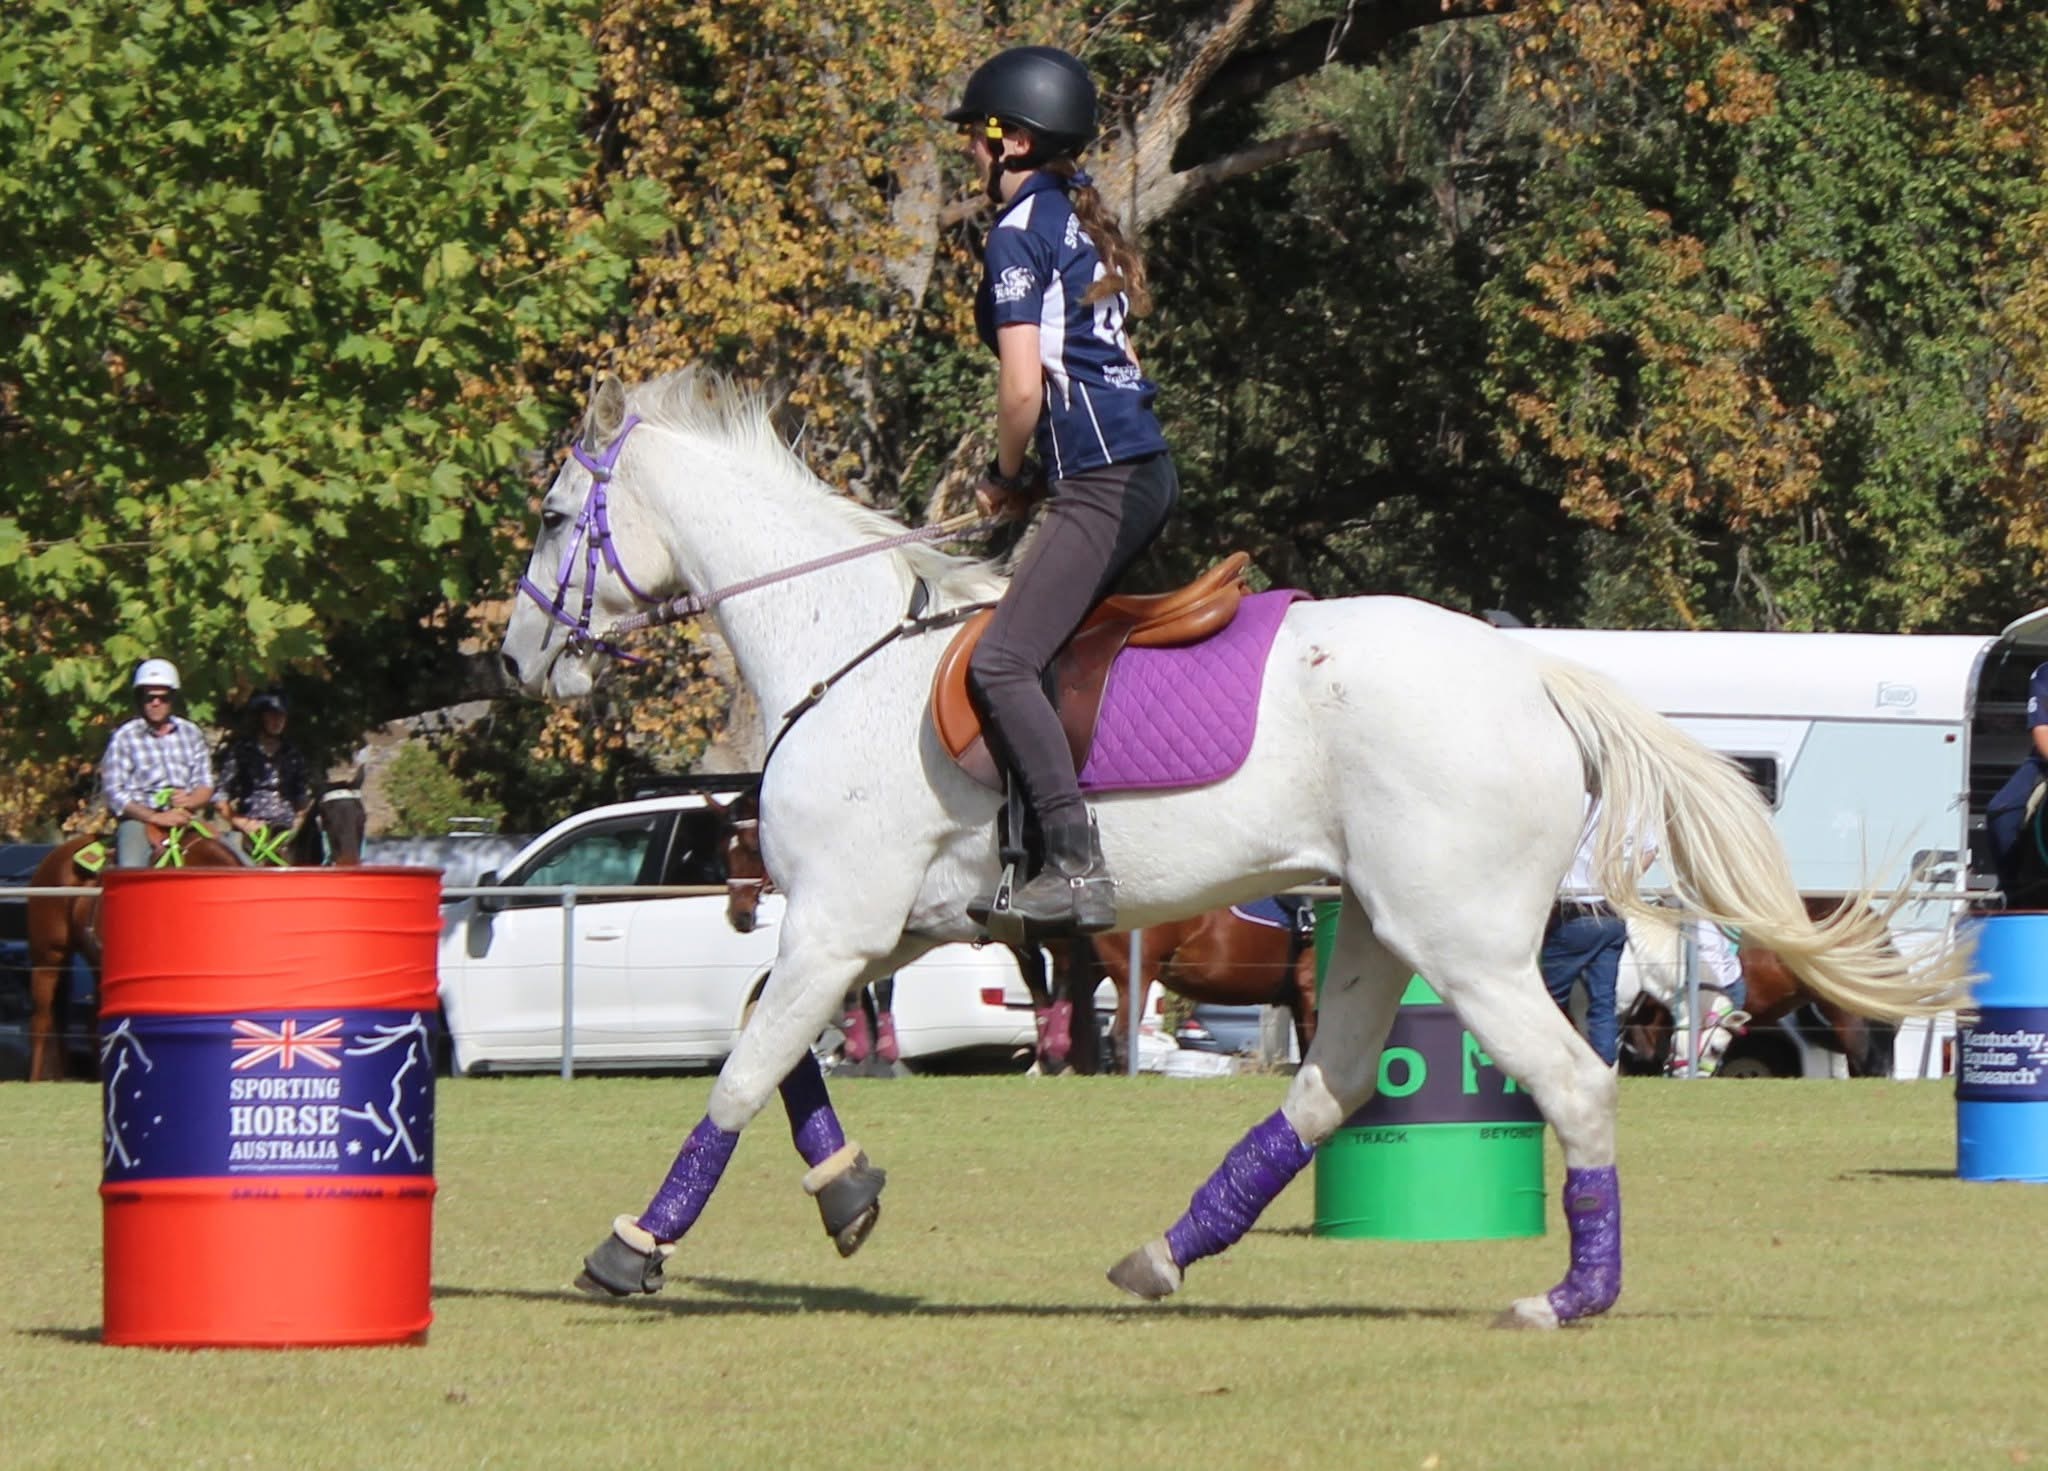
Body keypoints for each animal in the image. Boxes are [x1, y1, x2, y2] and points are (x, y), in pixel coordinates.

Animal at [499, 369, 1970, 1328]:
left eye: (560, 521)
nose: (515, 661)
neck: (839, 644)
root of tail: (1533, 673)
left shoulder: (838, 921)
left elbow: (743, 1067)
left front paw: (636, 1244)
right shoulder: (884, 927)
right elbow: (779, 1039)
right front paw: (845, 1190)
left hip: (1465, 943)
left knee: (1571, 1079)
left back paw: (1569, 1295)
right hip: (1374, 928)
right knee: (1328, 1090)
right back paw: (1162, 1254)